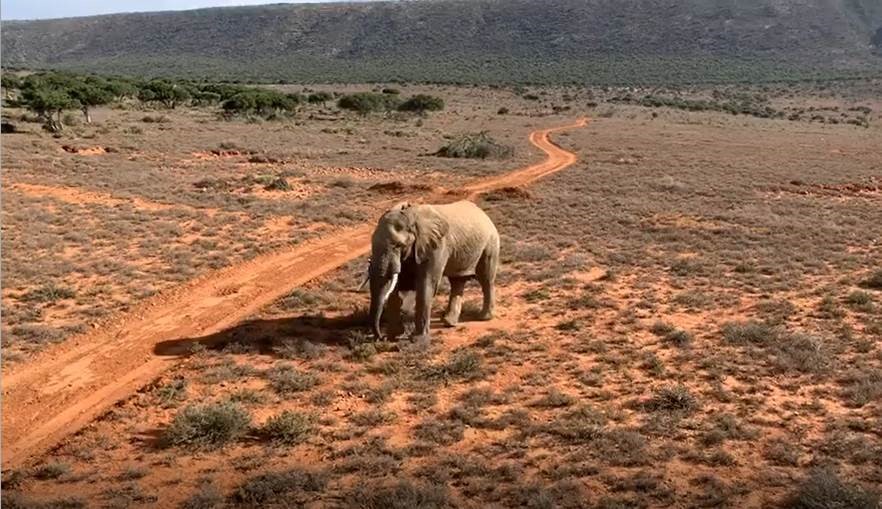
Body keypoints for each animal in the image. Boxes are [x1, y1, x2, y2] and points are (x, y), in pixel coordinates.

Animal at [366, 200, 500, 341]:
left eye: (398, 245)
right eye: (372, 244)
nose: (381, 337)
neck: (410, 216)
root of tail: (484, 214)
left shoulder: (436, 246)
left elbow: (426, 283)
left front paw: (417, 339)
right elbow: (396, 286)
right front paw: (394, 336)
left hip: (491, 243)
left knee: (486, 278)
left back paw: (484, 318)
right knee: (457, 281)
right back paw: (449, 322)